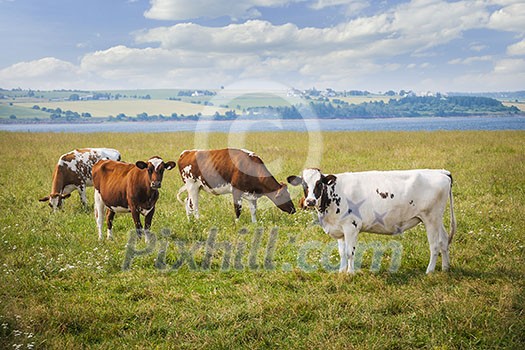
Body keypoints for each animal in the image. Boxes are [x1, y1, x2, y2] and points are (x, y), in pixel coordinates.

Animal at [286, 168, 454, 274]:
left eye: (319, 183)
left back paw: (429, 271)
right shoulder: (339, 228)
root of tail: (441, 172)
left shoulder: (351, 226)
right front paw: (341, 271)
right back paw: (445, 268)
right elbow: (341, 252)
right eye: (304, 185)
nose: (310, 201)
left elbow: (349, 252)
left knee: (435, 245)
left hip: (431, 218)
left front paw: (350, 273)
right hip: (437, 219)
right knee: (444, 240)